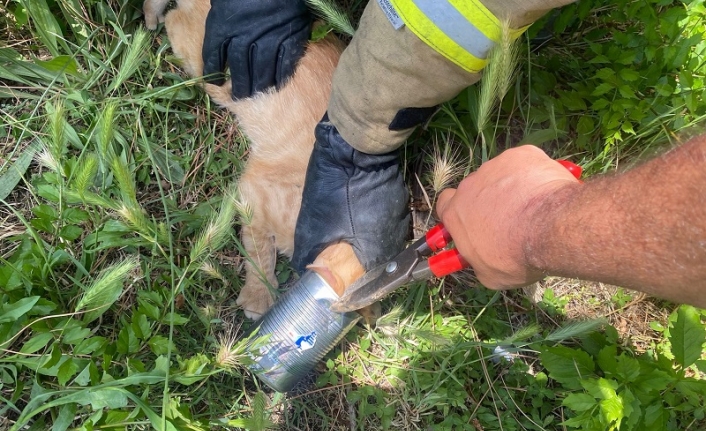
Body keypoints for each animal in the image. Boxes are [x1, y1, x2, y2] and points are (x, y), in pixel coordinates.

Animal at [141, 0, 366, 318]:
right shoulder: (253, 194)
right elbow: (260, 252)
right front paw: (258, 297)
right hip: (205, 64)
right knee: (174, 18)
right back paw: (154, 18)